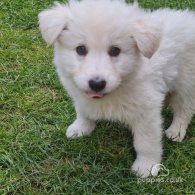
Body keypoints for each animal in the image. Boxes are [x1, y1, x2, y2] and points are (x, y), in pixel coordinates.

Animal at [38, 0, 195, 177]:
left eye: (115, 50)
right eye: (80, 49)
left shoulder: (147, 111)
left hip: (187, 83)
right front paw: (81, 128)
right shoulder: (80, 96)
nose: (96, 84)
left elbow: (146, 143)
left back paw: (176, 131)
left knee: (184, 109)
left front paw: (146, 166)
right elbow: (83, 111)